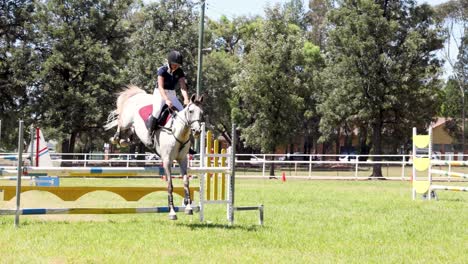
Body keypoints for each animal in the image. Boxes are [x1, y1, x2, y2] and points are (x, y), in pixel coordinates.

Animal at [105, 85, 204, 220]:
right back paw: (116, 138)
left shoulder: (183, 160)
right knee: (121, 122)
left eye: (202, 113)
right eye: (191, 111)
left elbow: (185, 182)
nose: (197, 131)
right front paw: (172, 212)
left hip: (135, 127)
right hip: (127, 119)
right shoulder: (167, 161)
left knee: (131, 131)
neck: (177, 132)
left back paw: (124, 140)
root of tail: (139, 95)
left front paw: (188, 207)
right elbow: (170, 185)